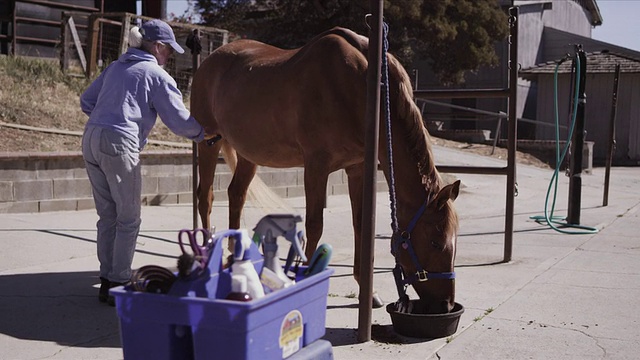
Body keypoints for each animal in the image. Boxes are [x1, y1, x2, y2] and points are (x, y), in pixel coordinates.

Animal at [190, 26, 460, 312]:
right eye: (435, 242)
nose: (445, 305)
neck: (363, 86)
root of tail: (209, 60)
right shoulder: (316, 166)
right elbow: (314, 226)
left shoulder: (357, 168)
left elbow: (360, 225)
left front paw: (367, 291)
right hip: (208, 142)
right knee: (206, 197)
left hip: (248, 154)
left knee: (236, 194)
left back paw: (236, 256)